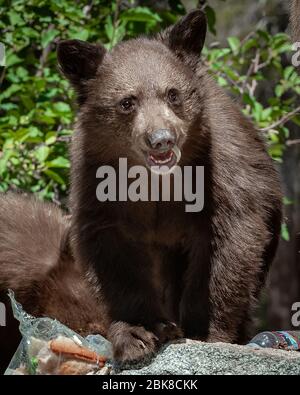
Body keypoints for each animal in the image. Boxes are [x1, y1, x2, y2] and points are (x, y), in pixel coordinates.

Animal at [56, 8, 284, 362]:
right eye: (127, 101)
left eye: (173, 93)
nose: (161, 139)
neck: (157, 180)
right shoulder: (98, 182)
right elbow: (112, 255)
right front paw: (137, 333)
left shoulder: (223, 174)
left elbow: (229, 246)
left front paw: (205, 331)